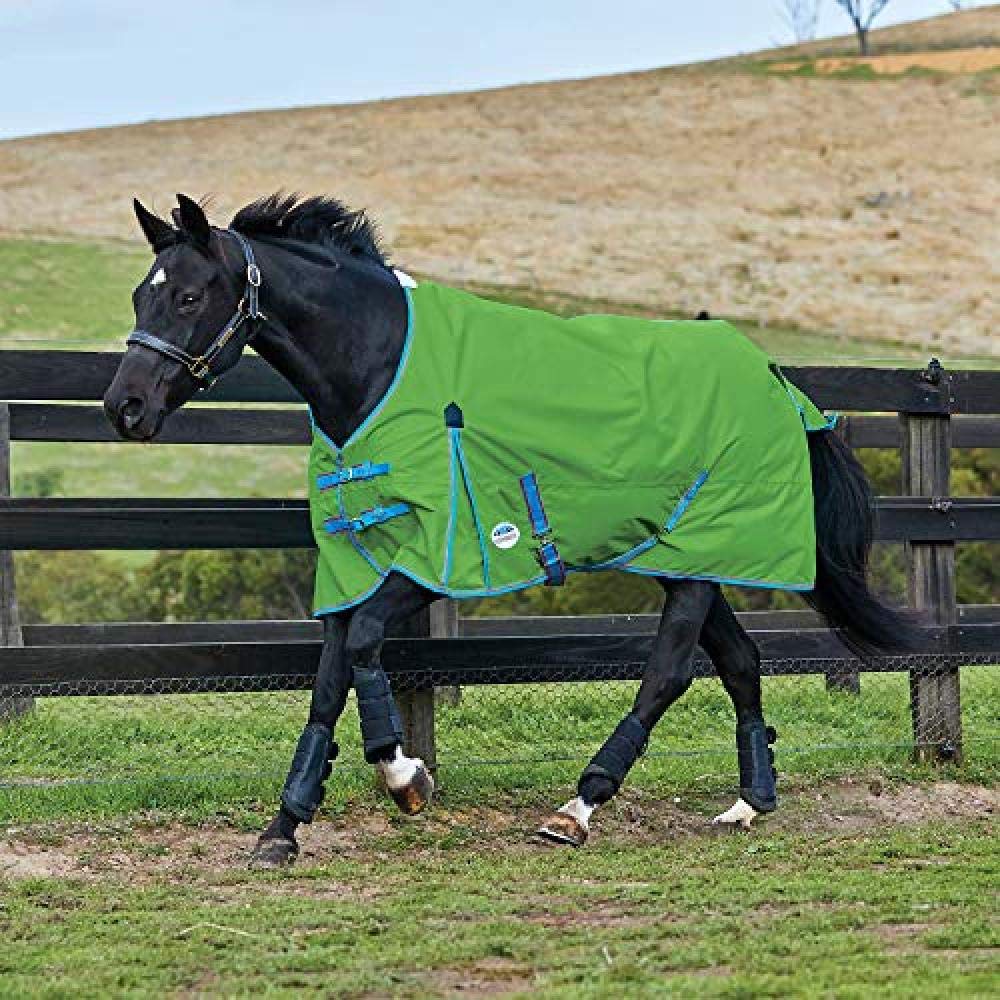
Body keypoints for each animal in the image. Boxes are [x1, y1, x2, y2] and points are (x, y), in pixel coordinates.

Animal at [104, 193, 918, 866]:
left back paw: (578, 808)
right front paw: (284, 829)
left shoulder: (438, 557)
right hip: (683, 554)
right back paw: (750, 802)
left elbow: (364, 647)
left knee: (669, 672)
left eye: (186, 295)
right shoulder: (354, 560)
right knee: (741, 662)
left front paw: (407, 777)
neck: (380, 368)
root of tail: (777, 378)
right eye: (140, 295)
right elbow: (328, 684)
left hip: (694, 560)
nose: (125, 407)